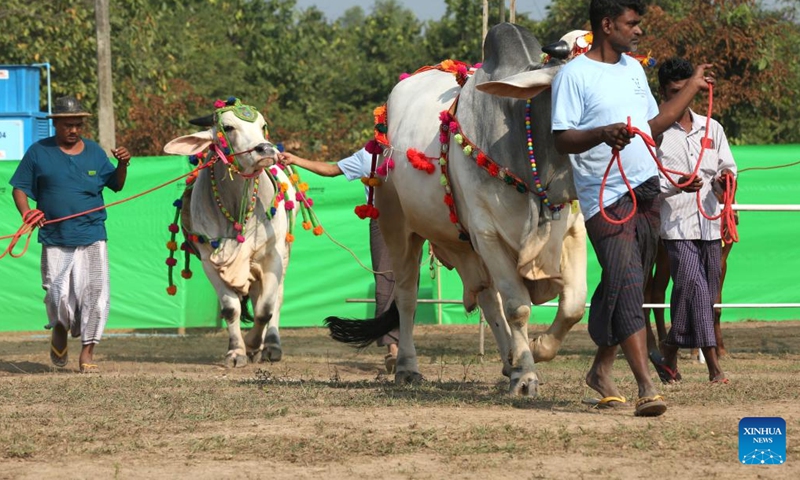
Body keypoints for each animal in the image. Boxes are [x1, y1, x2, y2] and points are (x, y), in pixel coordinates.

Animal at [164, 98, 294, 367]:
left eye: (262, 125)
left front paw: (254, 342)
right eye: (229, 127)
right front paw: (237, 351)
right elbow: (230, 308)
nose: (266, 150)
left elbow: (266, 308)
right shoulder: (209, 262)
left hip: (284, 255)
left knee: (275, 299)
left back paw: (271, 346)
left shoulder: (273, 256)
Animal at [325, 24, 589, 396]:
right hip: (399, 227)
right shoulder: (487, 232)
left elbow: (574, 305)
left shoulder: (571, 230)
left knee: (488, 299)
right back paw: (408, 367)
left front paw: (535, 350)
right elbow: (518, 307)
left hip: (464, 245)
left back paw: (508, 360)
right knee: (407, 297)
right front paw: (526, 375)